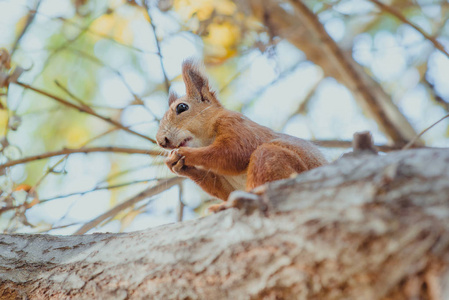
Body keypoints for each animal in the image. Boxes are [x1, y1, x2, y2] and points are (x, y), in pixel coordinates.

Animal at [157, 59, 326, 211]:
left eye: (182, 107)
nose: (161, 141)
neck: (206, 141)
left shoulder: (237, 125)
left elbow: (234, 153)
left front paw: (185, 153)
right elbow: (224, 189)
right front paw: (176, 165)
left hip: (281, 162)